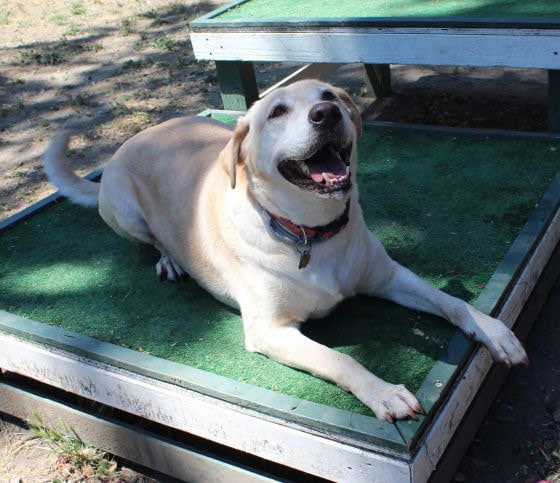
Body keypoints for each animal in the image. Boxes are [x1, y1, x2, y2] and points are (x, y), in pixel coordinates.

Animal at [46, 81, 528, 422]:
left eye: (329, 95)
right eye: (277, 111)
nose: (326, 113)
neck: (312, 233)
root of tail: (141, 133)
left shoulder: (388, 276)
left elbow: (451, 302)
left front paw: (493, 331)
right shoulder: (270, 330)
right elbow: (339, 358)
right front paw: (384, 392)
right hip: (123, 210)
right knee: (151, 241)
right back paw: (169, 258)